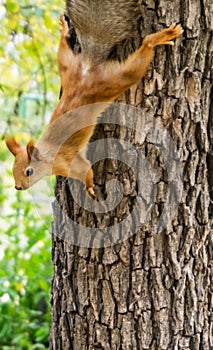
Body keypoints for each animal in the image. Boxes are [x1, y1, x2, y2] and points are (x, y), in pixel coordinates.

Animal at [6, 13, 183, 196]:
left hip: (113, 81)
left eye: (29, 171)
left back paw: (160, 38)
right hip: (67, 68)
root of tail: (87, 71)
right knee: (63, 53)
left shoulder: (68, 163)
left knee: (137, 60)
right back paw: (64, 30)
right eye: (13, 169)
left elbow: (86, 170)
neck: (48, 156)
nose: (18, 187)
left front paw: (90, 188)